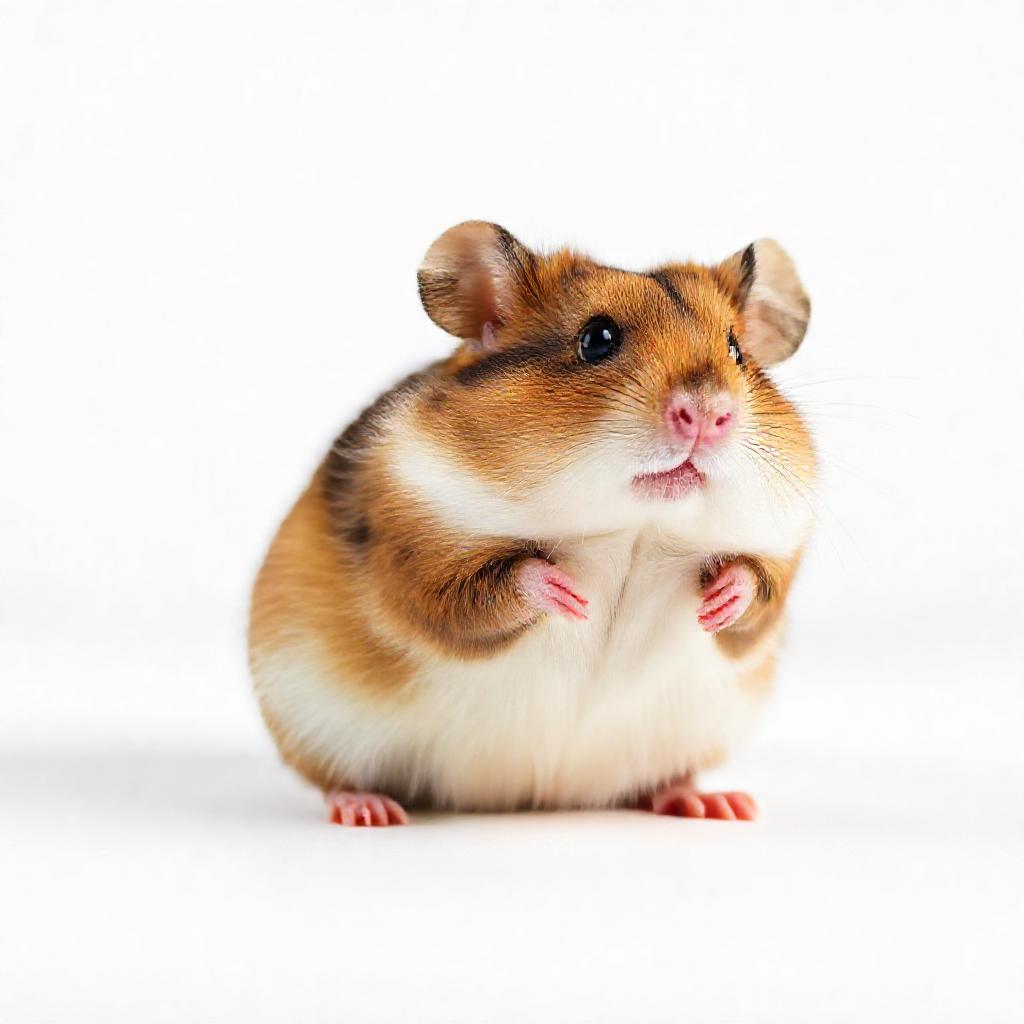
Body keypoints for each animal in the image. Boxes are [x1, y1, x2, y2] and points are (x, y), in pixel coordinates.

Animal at [249, 221, 814, 826]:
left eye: (736, 350)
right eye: (597, 339)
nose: (710, 415)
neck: (637, 524)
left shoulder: (781, 553)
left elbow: (754, 593)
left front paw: (717, 599)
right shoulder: (412, 550)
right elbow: (483, 588)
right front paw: (571, 594)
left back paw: (717, 804)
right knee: (336, 780)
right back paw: (368, 811)